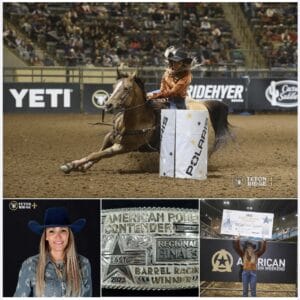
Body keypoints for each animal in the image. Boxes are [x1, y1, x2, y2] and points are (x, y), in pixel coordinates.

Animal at [59, 70, 232, 173]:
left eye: (126, 88)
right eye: (114, 86)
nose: (108, 105)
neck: (134, 121)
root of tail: (202, 104)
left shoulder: (123, 147)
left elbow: (97, 154)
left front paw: (70, 165)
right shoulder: (110, 137)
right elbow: (96, 153)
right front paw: (82, 165)